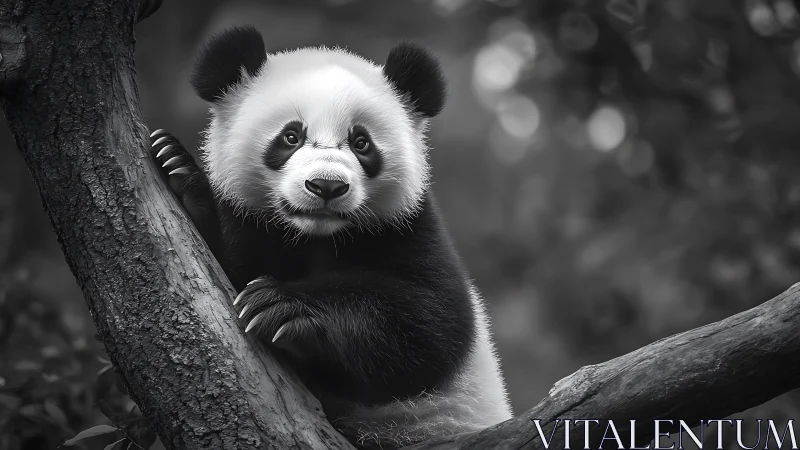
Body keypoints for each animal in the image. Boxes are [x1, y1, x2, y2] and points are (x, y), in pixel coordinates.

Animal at [149, 25, 512, 449]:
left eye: (361, 143)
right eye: (291, 136)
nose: (326, 185)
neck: (313, 236)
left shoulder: (405, 226)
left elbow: (431, 323)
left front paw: (282, 307)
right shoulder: (253, 222)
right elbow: (226, 265)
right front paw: (177, 168)